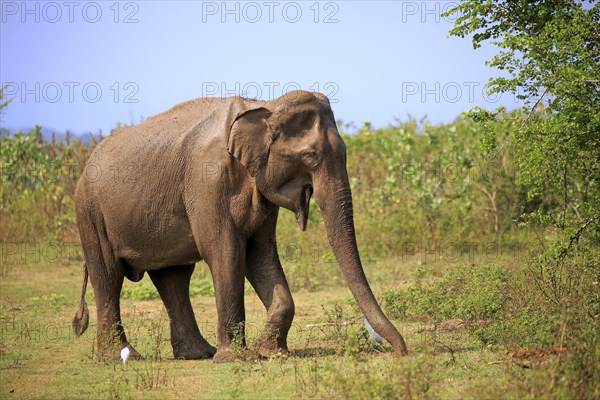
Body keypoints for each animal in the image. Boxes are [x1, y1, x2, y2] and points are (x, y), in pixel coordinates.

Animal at [71, 90, 408, 362]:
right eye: (311, 156)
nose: (401, 352)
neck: (264, 106)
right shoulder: (207, 180)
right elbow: (225, 250)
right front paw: (238, 358)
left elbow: (260, 253)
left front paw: (269, 352)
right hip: (89, 213)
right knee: (109, 275)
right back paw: (122, 357)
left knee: (173, 277)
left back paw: (198, 354)